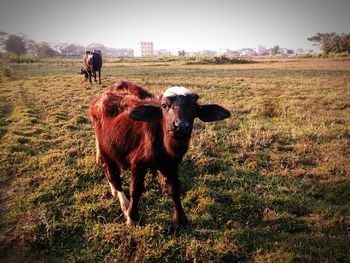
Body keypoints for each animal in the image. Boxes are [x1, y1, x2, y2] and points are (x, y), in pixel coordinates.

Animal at [88, 81, 230, 227]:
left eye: (193, 108)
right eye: (164, 106)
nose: (181, 126)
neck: (165, 147)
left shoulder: (172, 165)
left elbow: (174, 190)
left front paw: (181, 218)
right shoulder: (138, 163)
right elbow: (135, 190)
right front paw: (132, 217)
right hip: (106, 150)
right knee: (112, 175)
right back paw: (123, 202)